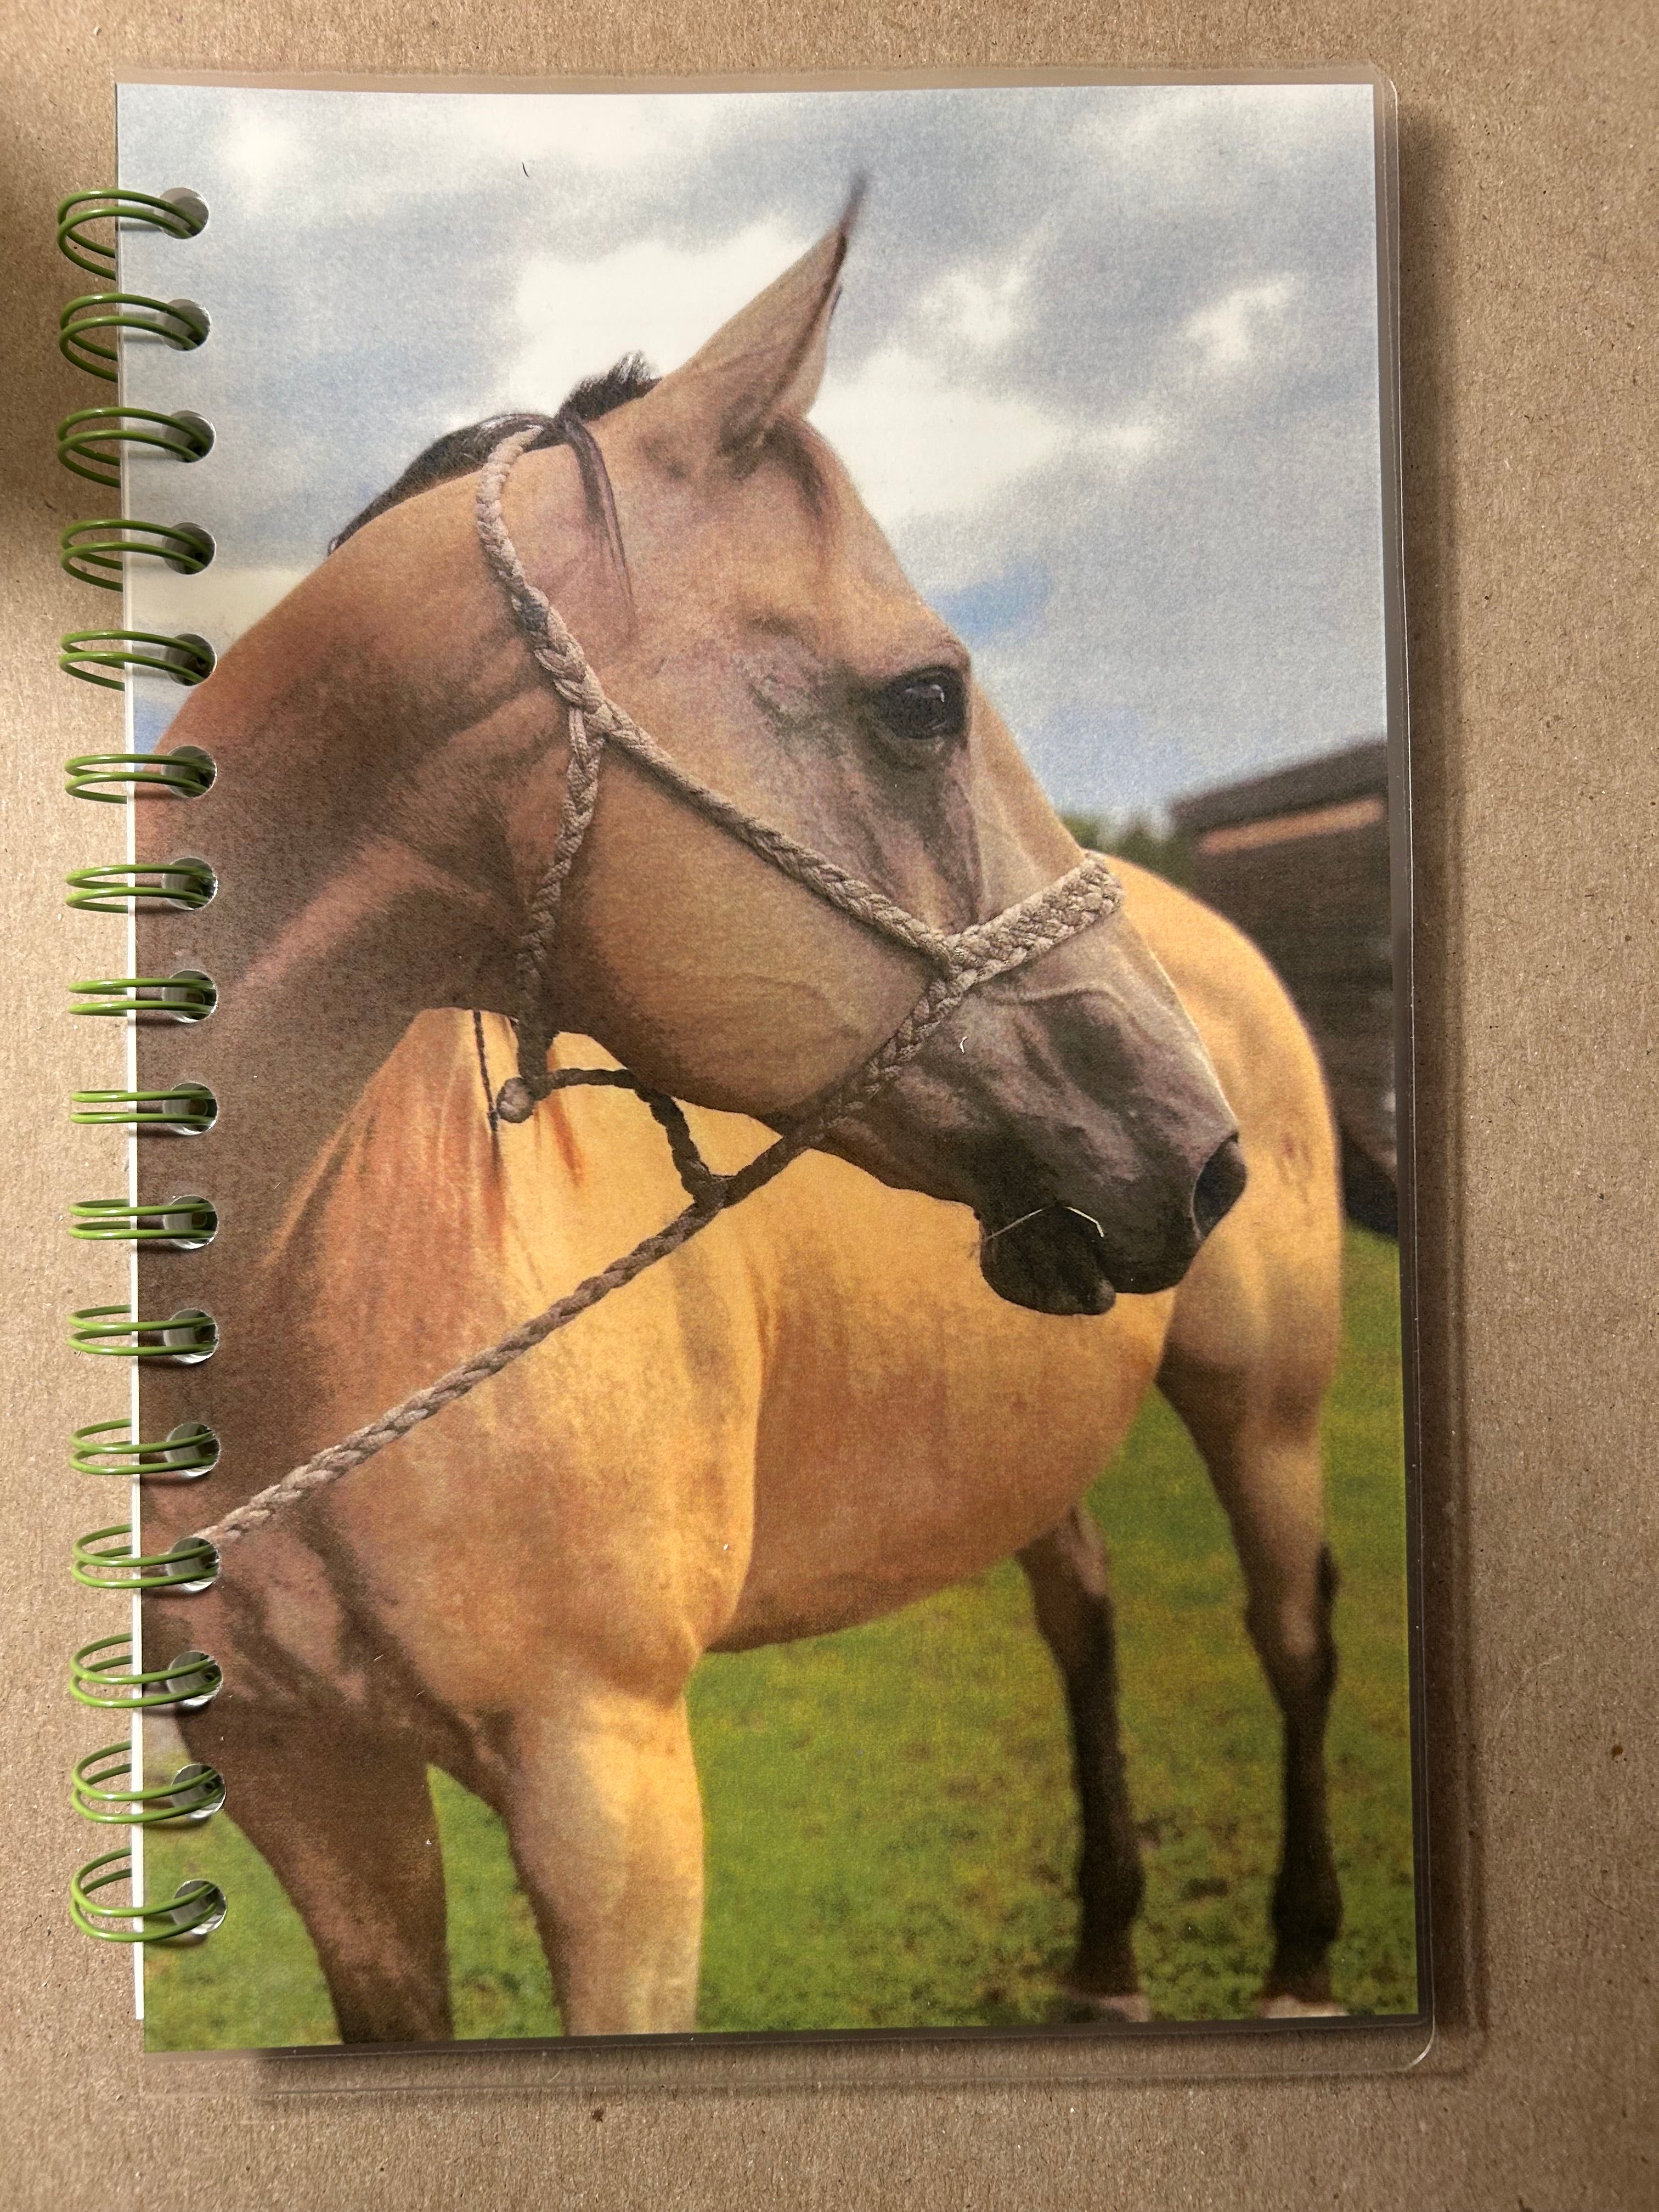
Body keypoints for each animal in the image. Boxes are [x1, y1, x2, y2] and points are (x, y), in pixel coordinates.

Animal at [127, 212, 1289, 2037]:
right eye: (925, 699)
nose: (1202, 1148)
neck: (325, 1291)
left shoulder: (614, 1794)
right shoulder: (303, 1772)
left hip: (1268, 1409)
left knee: (1295, 1641)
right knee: (1087, 1617)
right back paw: (1104, 1962)